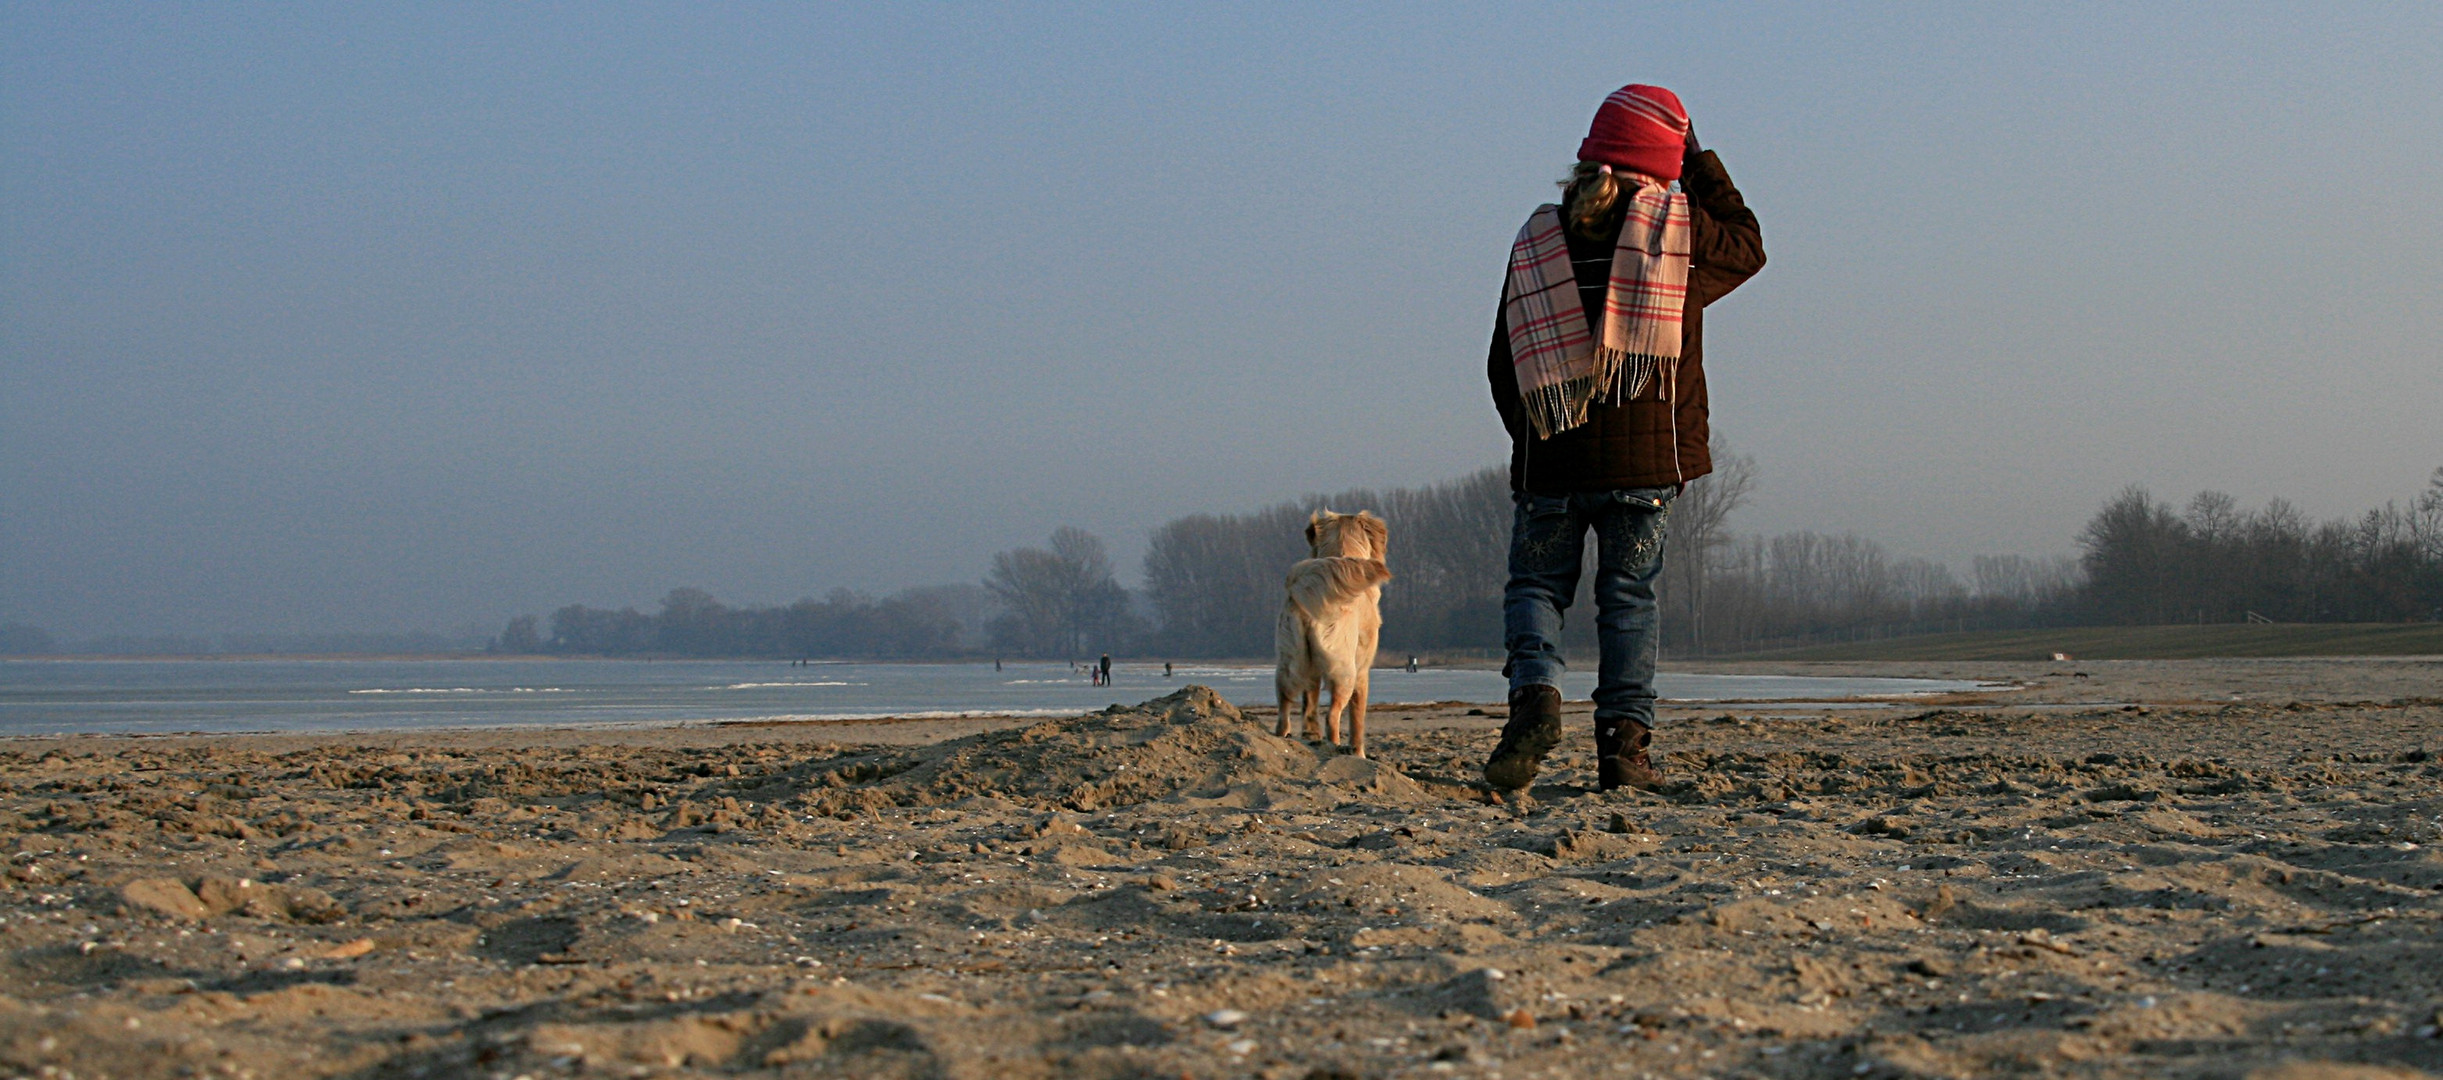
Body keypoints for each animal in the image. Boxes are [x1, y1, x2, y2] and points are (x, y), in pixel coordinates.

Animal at [1280, 513, 1397, 757]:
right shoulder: (1362, 672)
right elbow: (1357, 721)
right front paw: (1359, 753)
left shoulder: (1312, 673)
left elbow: (1309, 707)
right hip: (1345, 673)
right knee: (1332, 717)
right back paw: (1335, 746)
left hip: (1289, 664)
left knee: (1284, 713)